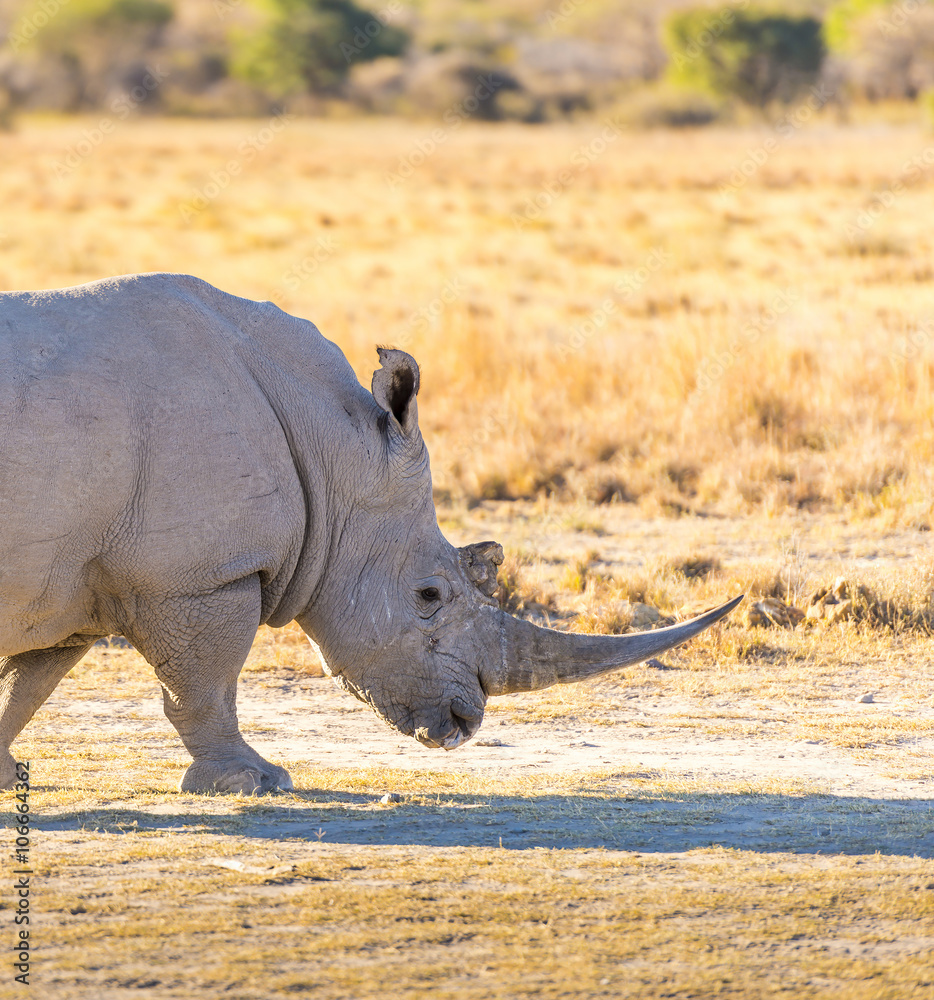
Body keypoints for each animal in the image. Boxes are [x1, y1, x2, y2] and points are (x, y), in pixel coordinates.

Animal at [0, 273, 741, 794]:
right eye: (429, 596)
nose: (464, 725)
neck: (333, 452)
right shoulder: (200, 576)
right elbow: (207, 684)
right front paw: (254, 782)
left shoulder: (72, 580)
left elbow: (30, 683)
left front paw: (6, 776)